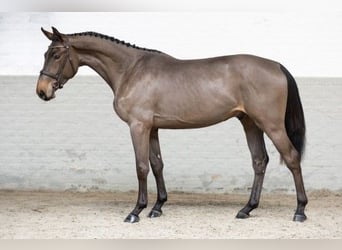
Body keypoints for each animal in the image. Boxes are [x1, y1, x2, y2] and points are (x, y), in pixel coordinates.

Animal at [35, 26, 308, 223]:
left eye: (56, 55)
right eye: (46, 54)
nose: (42, 91)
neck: (130, 70)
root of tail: (277, 66)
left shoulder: (138, 126)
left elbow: (141, 167)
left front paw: (136, 211)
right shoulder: (152, 128)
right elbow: (157, 165)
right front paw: (157, 207)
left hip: (271, 125)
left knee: (292, 158)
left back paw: (300, 211)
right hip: (250, 123)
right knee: (259, 161)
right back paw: (247, 209)